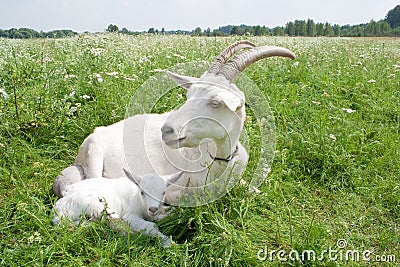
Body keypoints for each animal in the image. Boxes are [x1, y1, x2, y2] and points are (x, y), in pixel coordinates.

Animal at [52, 171, 183, 248]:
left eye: (163, 192)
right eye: (142, 192)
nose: (153, 208)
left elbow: (169, 212)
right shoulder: (130, 214)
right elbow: (150, 226)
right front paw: (169, 243)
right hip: (97, 205)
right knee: (114, 221)